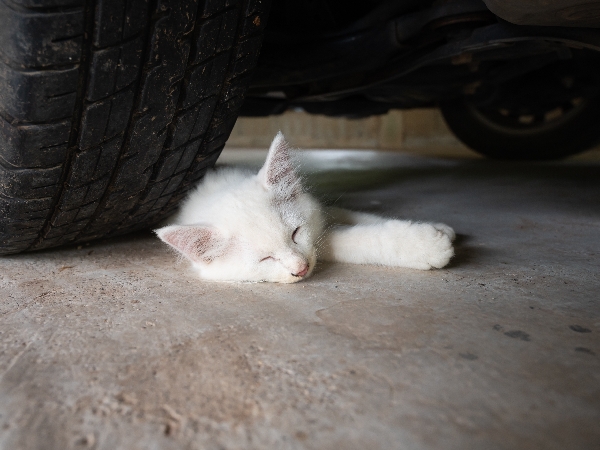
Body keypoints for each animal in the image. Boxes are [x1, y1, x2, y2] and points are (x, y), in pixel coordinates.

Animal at [155, 132, 454, 284]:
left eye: (296, 233)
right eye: (266, 259)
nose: (300, 268)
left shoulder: (320, 208)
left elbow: (359, 216)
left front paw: (439, 229)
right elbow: (349, 239)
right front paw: (425, 246)